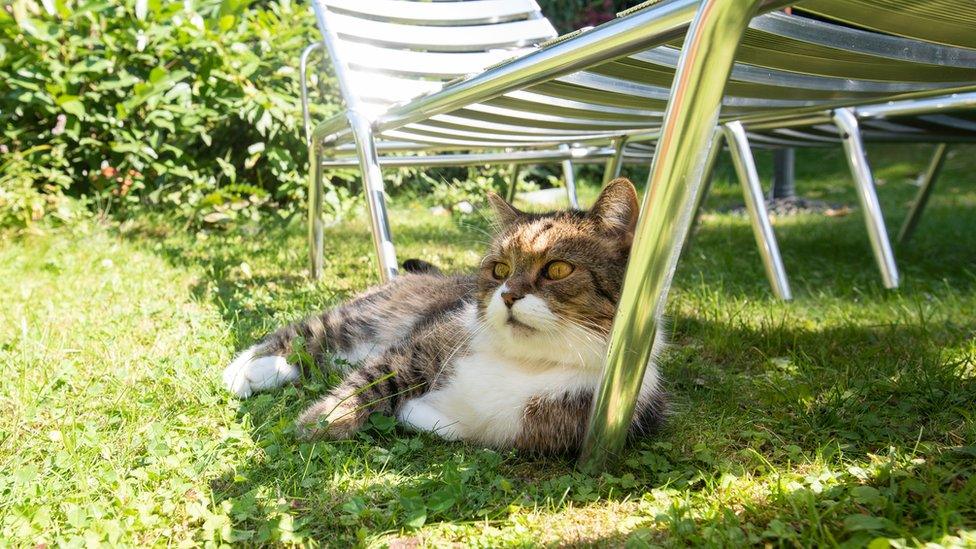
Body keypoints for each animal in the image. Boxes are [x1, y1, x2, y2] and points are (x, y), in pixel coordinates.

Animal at [222, 178, 668, 452]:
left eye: (558, 269)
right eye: (499, 270)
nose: (508, 295)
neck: (528, 360)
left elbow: (455, 427)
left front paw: (411, 413)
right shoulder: (416, 349)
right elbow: (370, 384)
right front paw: (322, 420)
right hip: (364, 320)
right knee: (303, 333)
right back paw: (243, 370)